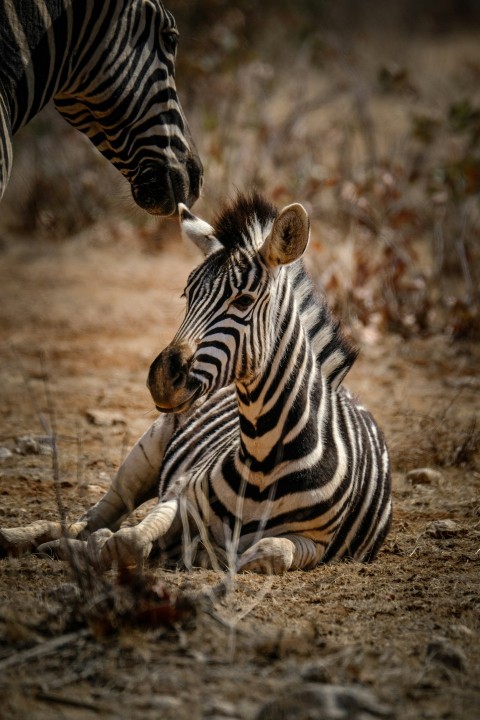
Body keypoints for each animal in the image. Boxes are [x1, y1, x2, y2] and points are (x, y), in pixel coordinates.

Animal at [0, 193, 392, 573]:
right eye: (187, 295)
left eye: (243, 301)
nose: (162, 379)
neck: (264, 458)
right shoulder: (180, 492)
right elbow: (128, 540)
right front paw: (99, 549)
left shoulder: (316, 544)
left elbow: (268, 552)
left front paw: (196, 553)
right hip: (144, 455)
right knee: (89, 519)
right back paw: (27, 539)